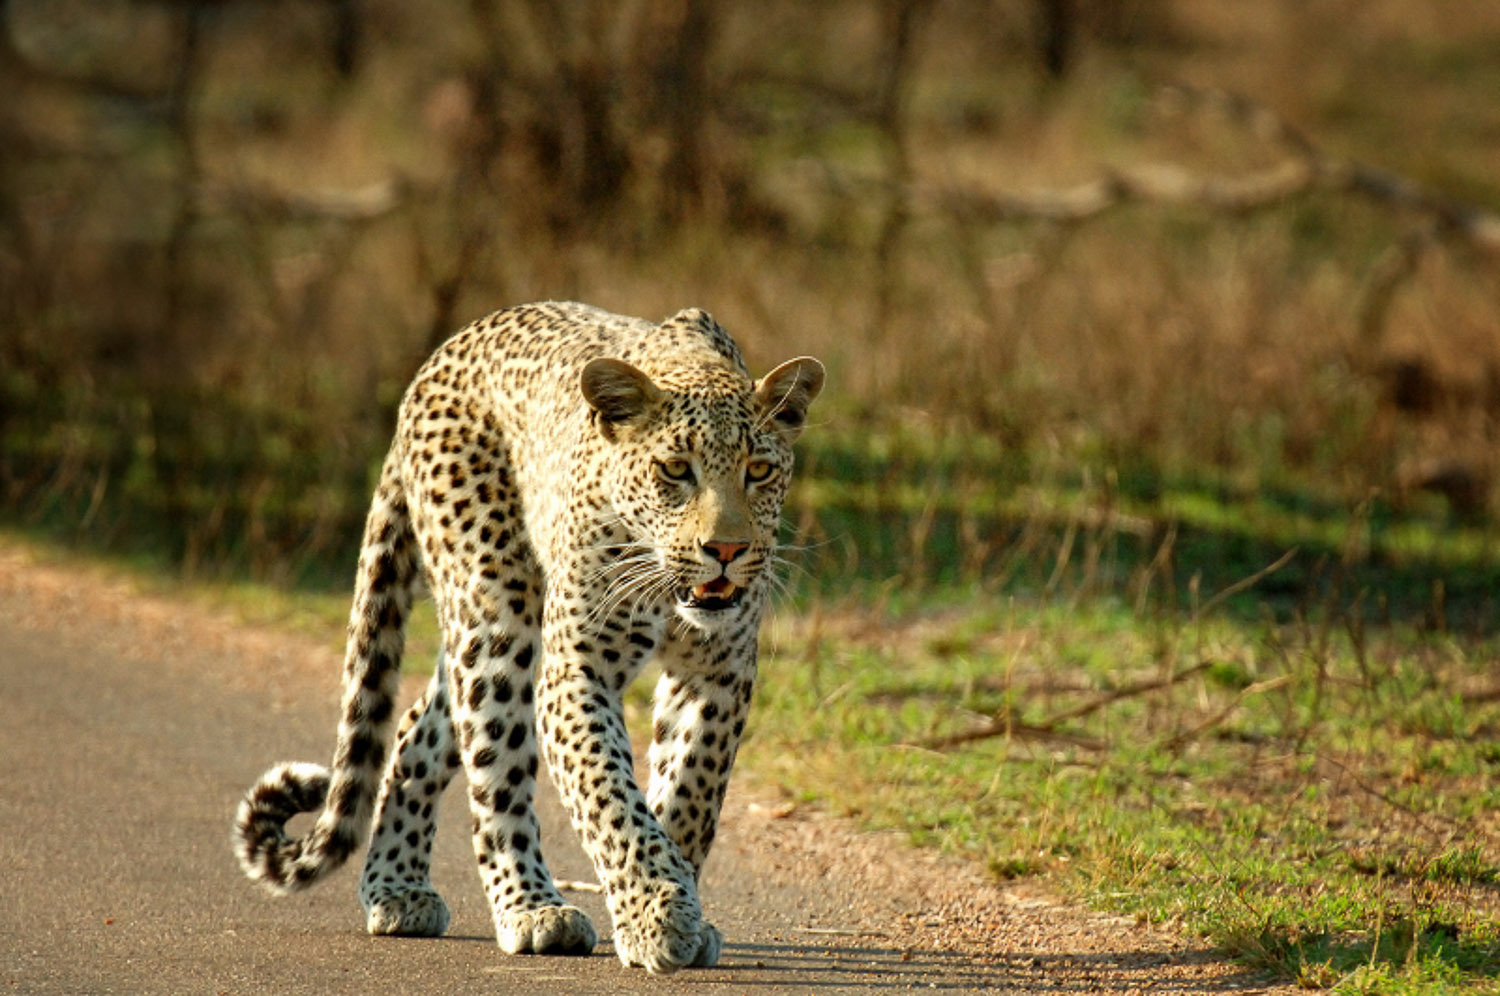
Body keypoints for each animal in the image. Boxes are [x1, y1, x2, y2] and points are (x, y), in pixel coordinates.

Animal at [233, 301, 824, 975]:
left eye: (760, 471)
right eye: (675, 470)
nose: (726, 550)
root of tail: (433, 363)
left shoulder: (719, 672)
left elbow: (690, 790)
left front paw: (679, 910)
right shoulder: (576, 671)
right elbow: (609, 796)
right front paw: (656, 912)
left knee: (415, 730)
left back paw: (397, 888)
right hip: (496, 616)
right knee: (496, 771)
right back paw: (532, 909)